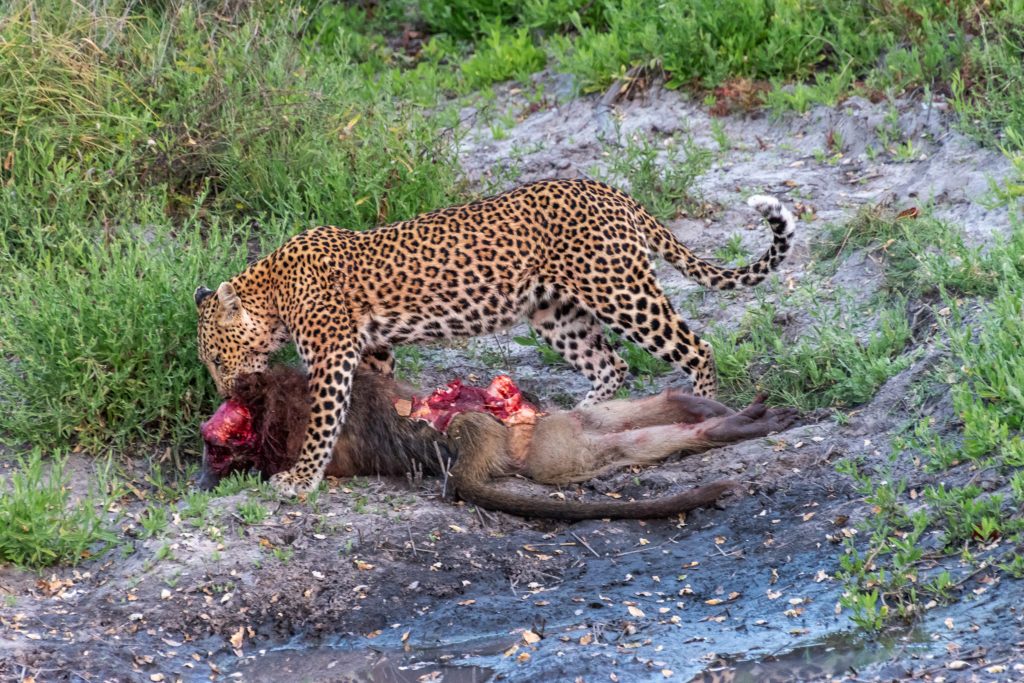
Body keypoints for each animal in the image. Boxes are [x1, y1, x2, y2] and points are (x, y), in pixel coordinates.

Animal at [194, 178, 796, 496]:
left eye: (218, 360)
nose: (224, 392)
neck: (270, 290)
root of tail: (608, 189)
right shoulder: (373, 348)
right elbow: (375, 393)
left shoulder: (334, 354)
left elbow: (322, 421)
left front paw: (300, 479)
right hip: (555, 311)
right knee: (611, 364)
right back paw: (577, 412)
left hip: (619, 290)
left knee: (695, 348)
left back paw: (710, 402)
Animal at [199, 366, 799, 519]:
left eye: (216, 444)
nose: (203, 475)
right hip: (555, 439)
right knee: (615, 435)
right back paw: (714, 419)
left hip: (543, 438)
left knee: (614, 433)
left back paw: (713, 417)